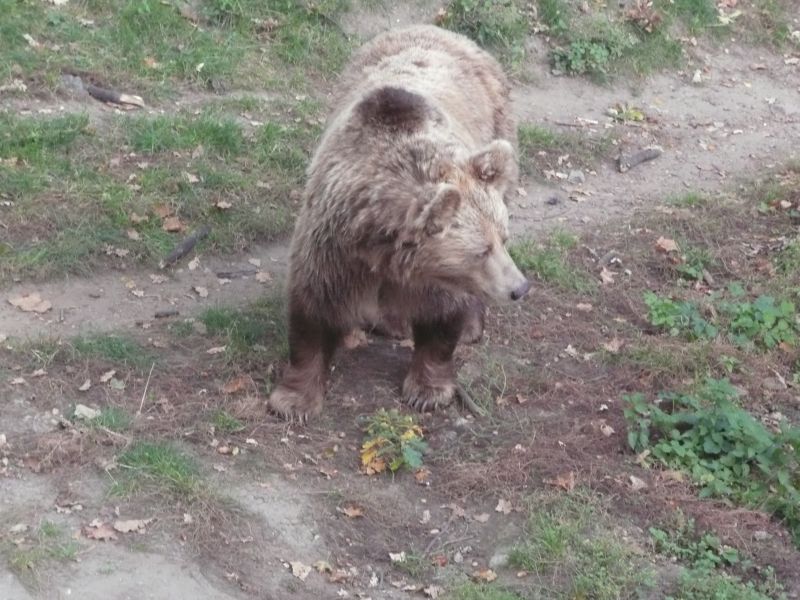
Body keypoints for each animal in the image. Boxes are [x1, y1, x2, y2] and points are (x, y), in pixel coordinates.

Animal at [267, 25, 531, 421]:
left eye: (504, 238)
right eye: (481, 251)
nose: (519, 288)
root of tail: (441, 29)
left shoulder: (438, 274)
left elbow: (442, 317)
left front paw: (428, 390)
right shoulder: (332, 244)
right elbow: (314, 307)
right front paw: (294, 399)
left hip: (498, 130)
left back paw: (469, 326)